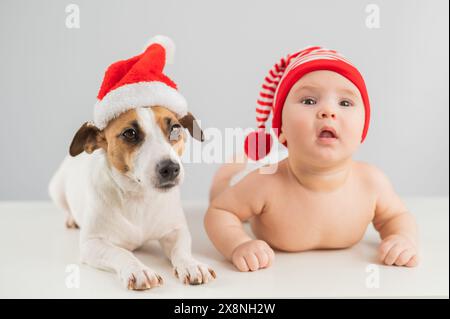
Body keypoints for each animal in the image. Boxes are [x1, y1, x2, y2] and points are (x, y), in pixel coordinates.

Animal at [48, 36, 216, 292]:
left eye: (175, 128)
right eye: (129, 133)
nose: (170, 168)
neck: (139, 197)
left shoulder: (176, 230)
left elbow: (181, 249)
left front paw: (192, 264)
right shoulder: (93, 244)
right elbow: (121, 253)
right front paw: (139, 270)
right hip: (57, 189)